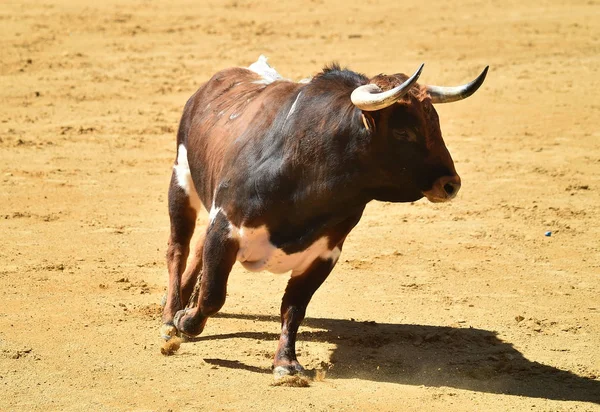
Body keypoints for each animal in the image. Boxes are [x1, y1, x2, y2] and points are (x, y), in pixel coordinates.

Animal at [161, 56, 488, 378]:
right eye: (403, 131)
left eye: (435, 123)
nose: (450, 184)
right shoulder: (226, 228)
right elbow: (213, 294)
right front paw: (184, 321)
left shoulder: (324, 253)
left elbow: (294, 307)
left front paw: (286, 363)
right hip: (181, 178)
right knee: (179, 248)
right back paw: (169, 316)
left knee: (197, 246)